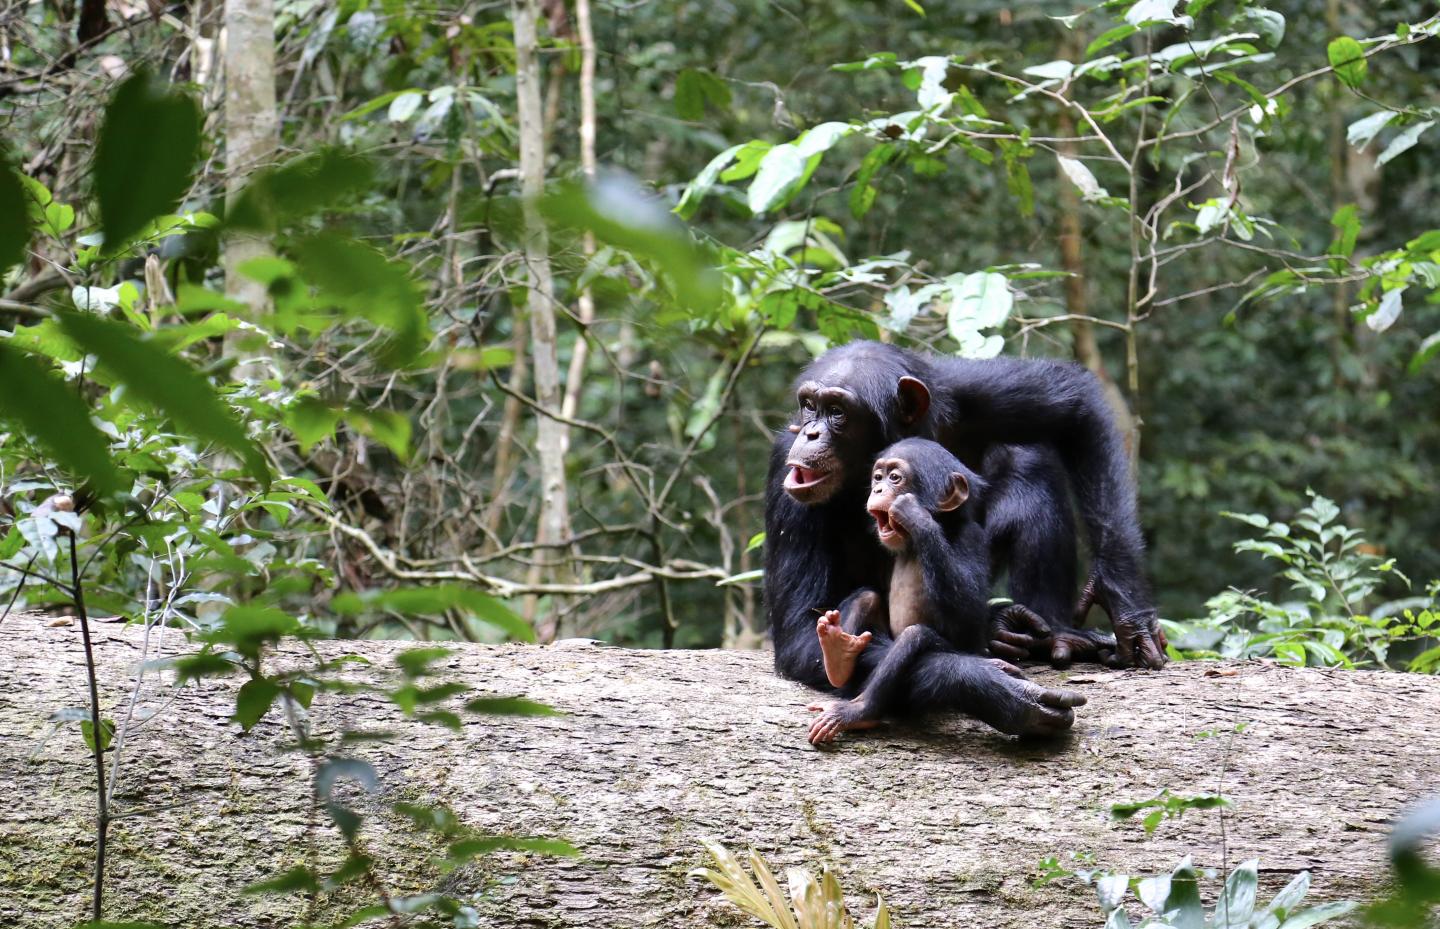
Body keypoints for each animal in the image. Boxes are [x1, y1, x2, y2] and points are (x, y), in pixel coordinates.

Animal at [812, 437, 1082, 748]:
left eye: (895, 478)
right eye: (877, 477)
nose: (878, 489)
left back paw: (857, 711)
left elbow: (969, 612)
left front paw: (915, 515)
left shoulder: (971, 540)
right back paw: (837, 653)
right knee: (866, 597)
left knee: (914, 637)